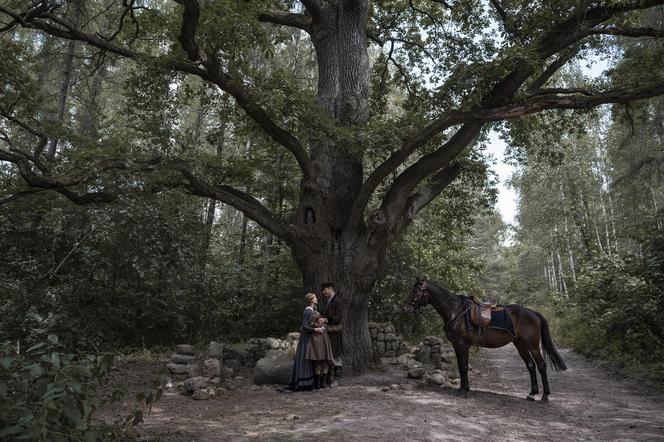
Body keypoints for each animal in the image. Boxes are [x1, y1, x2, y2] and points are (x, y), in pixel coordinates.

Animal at [402, 280, 568, 400]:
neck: (456, 311)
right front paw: (463, 388)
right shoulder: (457, 345)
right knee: (531, 365)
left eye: (415, 291)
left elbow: (463, 367)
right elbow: (462, 366)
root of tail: (533, 313)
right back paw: (532, 393)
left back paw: (545, 395)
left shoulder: (463, 345)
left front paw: (463, 390)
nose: (405, 307)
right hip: (520, 345)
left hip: (532, 345)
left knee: (541, 365)